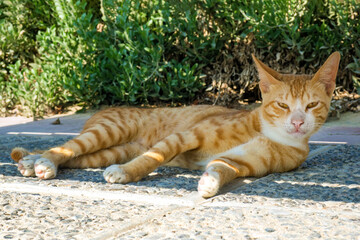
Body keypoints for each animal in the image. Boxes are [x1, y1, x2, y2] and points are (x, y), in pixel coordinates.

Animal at [9, 52, 340, 197]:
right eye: (282, 105)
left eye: (312, 106)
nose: (297, 122)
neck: (268, 133)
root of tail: (103, 109)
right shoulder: (185, 136)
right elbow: (153, 157)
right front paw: (129, 174)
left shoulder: (243, 162)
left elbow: (222, 167)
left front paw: (209, 182)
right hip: (107, 131)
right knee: (66, 147)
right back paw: (40, 160)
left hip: (111, 151)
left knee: (79, 158)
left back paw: (34, 163)